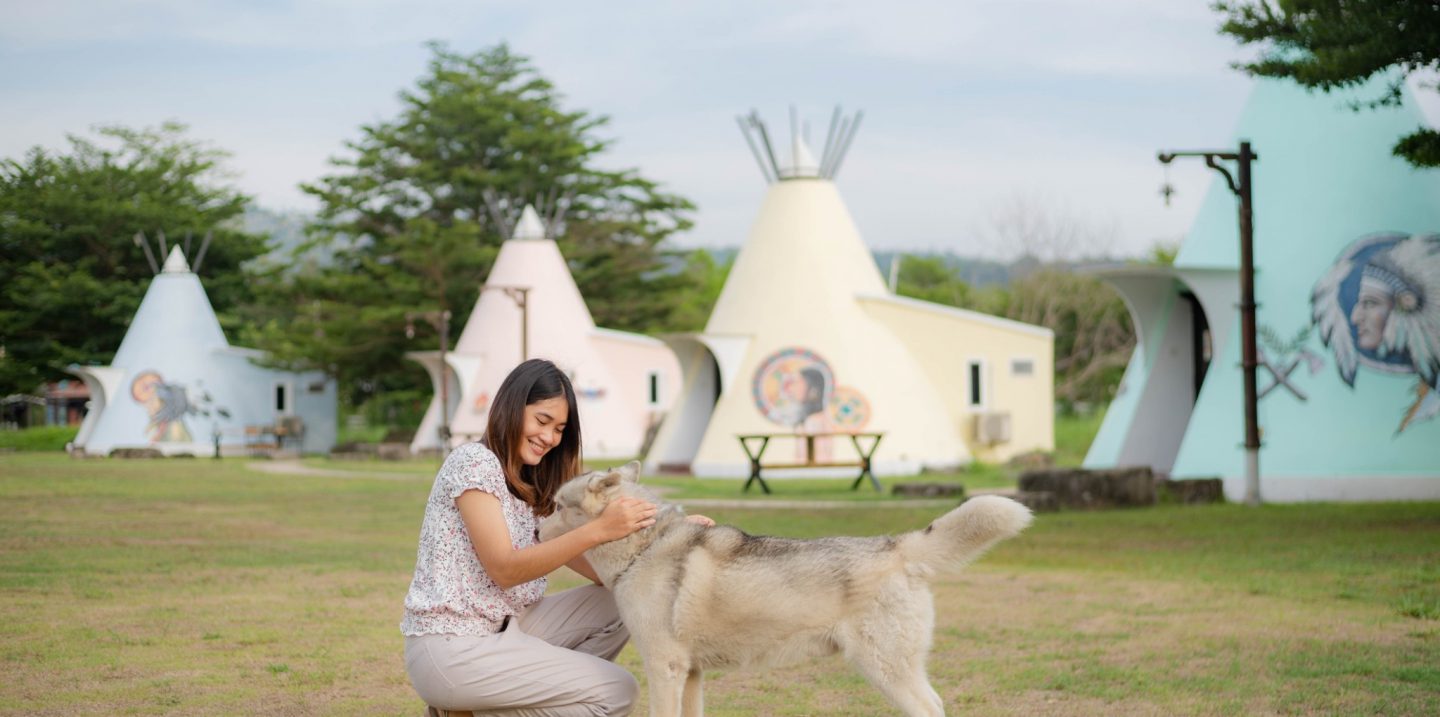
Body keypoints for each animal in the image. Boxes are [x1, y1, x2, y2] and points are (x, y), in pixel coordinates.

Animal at [535, 460, 1031, 714]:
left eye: (558, 505)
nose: (535, 532)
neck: (643, 548)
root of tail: (898, 546)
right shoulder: (690, 673)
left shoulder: (665, 669)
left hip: (886, 670)